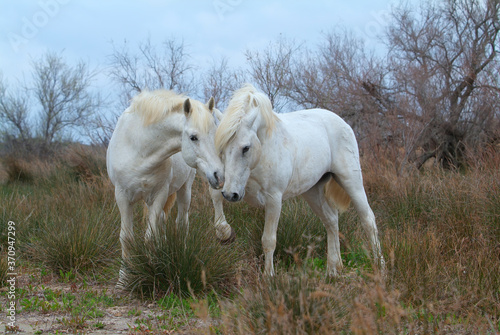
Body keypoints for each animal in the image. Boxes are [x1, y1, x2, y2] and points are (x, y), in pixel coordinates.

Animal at [107, 89, 232, 280]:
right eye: (193, 137)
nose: (219, 176)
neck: (138, 149)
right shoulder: (122, 196)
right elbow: (127, 238)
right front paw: (123, 279)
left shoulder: (159, 195)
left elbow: (150, 237)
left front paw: (153, 270)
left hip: (184, 190)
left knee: (181, 224)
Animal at [214, 84, 382, 278]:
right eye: (222, 149)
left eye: (245, 148)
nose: (230, 194)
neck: (264, 149)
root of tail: (343, 123)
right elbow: (218, 206)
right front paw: (224, 232)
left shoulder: (273, 200)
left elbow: (268, 240)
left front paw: (268, 277)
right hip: (313, 191)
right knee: (331, 221)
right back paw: (333, 269)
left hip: (351, 182)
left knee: (368, 220)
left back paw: (381, 266)